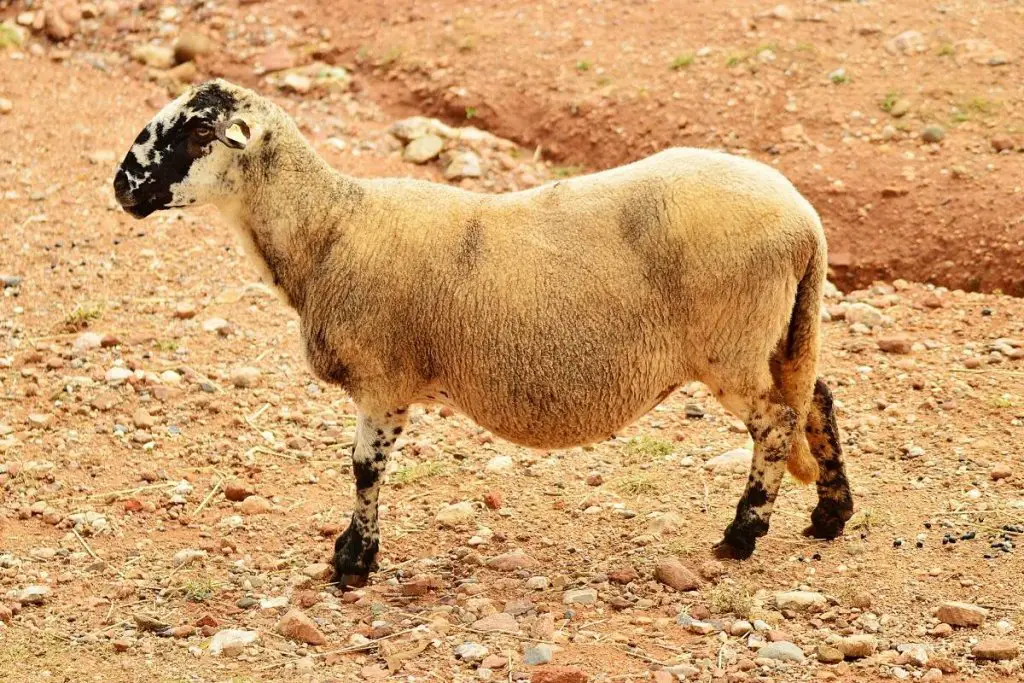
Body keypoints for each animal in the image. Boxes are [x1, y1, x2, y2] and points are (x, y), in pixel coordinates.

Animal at [114, 78, 856, 581]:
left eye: (196, 136)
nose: (121, 187)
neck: (329, 229)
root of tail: (804, 218)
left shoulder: (383, 380)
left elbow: (364, 469)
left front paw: (353, 561)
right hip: (779, 336)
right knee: (816, 400)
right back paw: (830, 515)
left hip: (732, 343)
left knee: (776, 424)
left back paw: (742, 534)